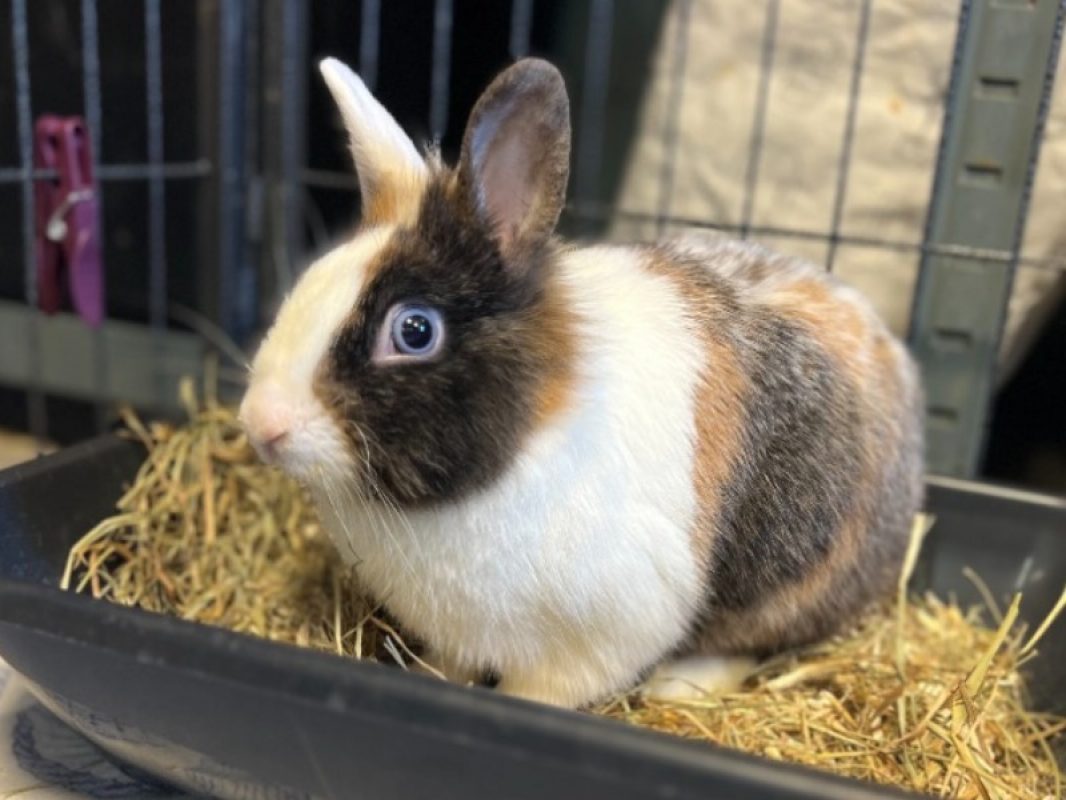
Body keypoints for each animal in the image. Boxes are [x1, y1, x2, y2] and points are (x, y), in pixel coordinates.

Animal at [238, 55, 925, 709]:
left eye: (413, 330)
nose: (262, 423)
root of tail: (897, 363)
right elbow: (452, 665)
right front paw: (430, 677)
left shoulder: (604, 633)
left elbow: (545, 691)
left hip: (784, 589)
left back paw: (680, 685)